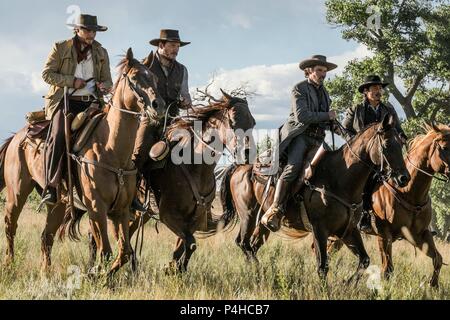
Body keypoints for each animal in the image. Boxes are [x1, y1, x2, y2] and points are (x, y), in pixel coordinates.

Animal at [0, 47, 165, 276]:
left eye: (155, 78)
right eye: (134, 78)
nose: (159, 105)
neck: (111, 149)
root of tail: (16, 137)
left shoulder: (121, 210)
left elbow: (124, 252)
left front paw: (102, 275)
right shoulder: (97, 209)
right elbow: (106, 251)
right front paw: (97, 275)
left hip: (59, 203)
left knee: (46, 236)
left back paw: (46, 272)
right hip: (17, 192)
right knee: (10, 226)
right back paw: (9, 265)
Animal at [218, 114, 412, 282]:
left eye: (401, 143)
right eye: (386, 144)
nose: (404, 178)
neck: (339, 178)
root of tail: (239, 167)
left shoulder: (348, 230)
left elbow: (364, 260)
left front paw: (346, 284)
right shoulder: (320, 229)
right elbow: (322, 266)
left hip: (262, 222)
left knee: (252, 246)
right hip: (248, 215)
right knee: (244, 243)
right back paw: (260, 273)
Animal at [328, 122, 448, 288]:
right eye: (444, 147)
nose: (403, 179)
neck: (409, 192)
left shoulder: (420, 235)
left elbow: (438, 259)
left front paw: (433, 286)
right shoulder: (384, 234)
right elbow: (387, 270)